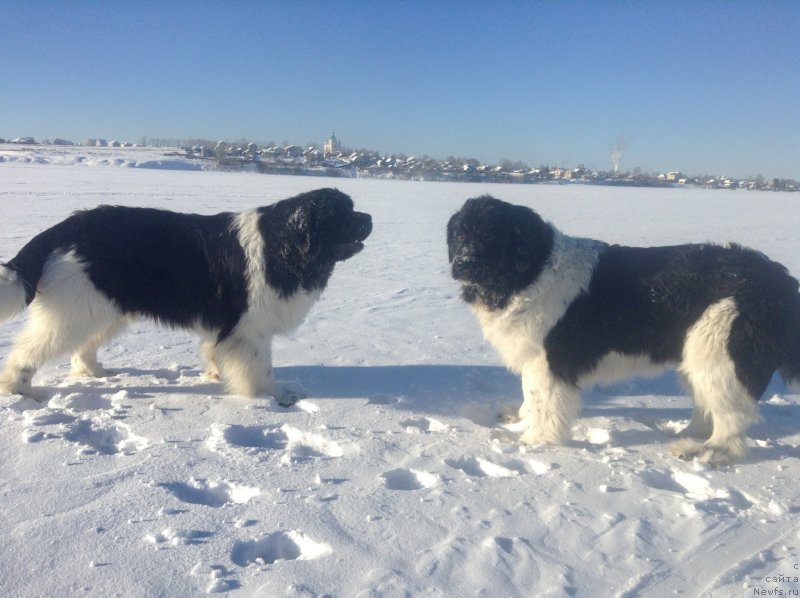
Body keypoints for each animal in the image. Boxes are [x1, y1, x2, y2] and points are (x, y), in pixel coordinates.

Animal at [0, 189, 374, 404]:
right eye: (343, 214)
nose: (370, 217)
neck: (283, 246)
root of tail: (65, 227)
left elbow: (215, 351)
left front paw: (216, 374)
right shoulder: (250, 329)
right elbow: (262, 369)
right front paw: (276, 397)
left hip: (104, 306)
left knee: (82, 346)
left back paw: (94, 371)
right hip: (79, 307)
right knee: (30, 350)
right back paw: (21, 389)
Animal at [446, 197, 800, 464]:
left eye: (491, 237)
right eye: (461, 236)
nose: (462, 264)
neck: (531, 272)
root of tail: (779, 279)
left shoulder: (548, 361)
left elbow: (543, 402)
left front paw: (534, 441)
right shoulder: (533, 357)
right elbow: (530, 396)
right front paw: (519, 418)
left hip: (720, 351)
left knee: (733, 417)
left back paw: (710, 452)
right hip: (699, 354)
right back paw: (690, 435)